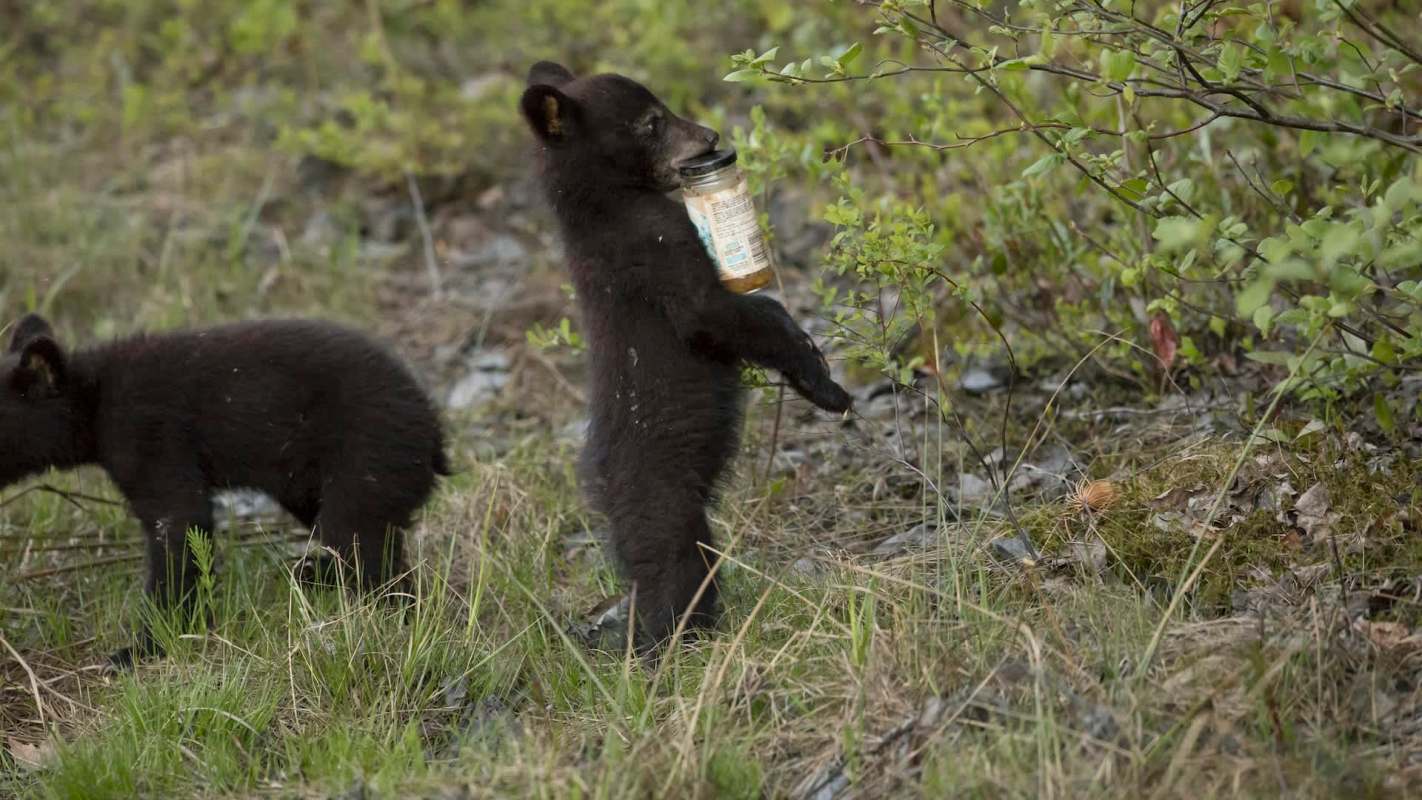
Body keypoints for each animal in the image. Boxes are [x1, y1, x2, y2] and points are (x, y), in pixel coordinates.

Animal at [0, 314, 449, 669]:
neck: (94, 398)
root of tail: (433, 429)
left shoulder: (152, 437)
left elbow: (178, 523)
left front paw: (144, 647)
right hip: (310, 481)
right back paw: (313, 573)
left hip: (366, 455)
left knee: (362, 545)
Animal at [519, 61, 853, 652]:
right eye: (653, 122)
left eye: (663, 108)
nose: (710, 137)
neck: (605, 205)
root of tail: (601, 487)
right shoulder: (649, 244)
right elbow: (713, 314)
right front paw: (821, 378)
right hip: (664, 496)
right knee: (676, 566)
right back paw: (674, 640)